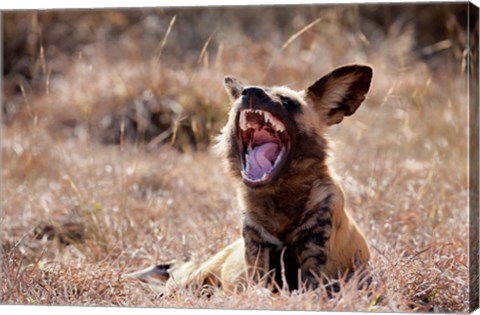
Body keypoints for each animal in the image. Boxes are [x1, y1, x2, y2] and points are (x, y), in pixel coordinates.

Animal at [129, 65, 374, 296]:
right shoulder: (257, 258)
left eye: (289, 102)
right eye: (241, 95)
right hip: (190, 282)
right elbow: (259, 289)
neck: (277, 200)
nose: (251, 92)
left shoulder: (315, 272)